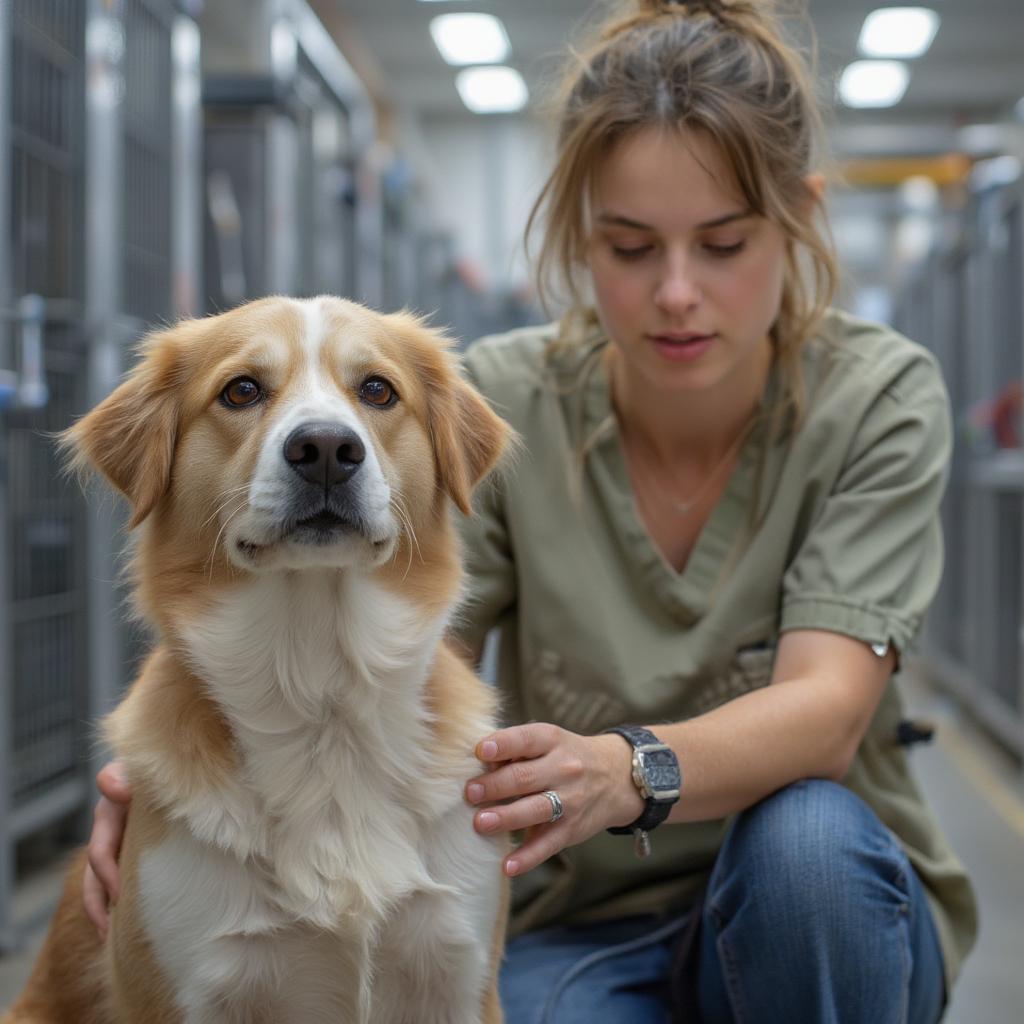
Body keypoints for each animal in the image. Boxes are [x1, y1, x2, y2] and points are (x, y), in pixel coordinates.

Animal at [4, 296, 507, 1024]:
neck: (319, 690)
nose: (325, 449)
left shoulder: (456, 971)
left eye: (377, 390)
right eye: (241, 390)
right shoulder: (188, 989)